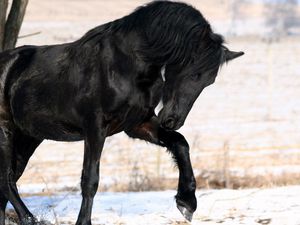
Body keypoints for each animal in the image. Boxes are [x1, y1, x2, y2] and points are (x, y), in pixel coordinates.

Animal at [0, 0, 244, 224]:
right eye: (193, 72)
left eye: (209, 81)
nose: (173, 120)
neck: (126, 65)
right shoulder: (95, 128)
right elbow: (90, 179)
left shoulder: (137, 124)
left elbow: (180, 144)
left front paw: (187, 202)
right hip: (6, 132)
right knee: (7, 180)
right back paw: (29, 218)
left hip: (29, 137)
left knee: (10, 180)